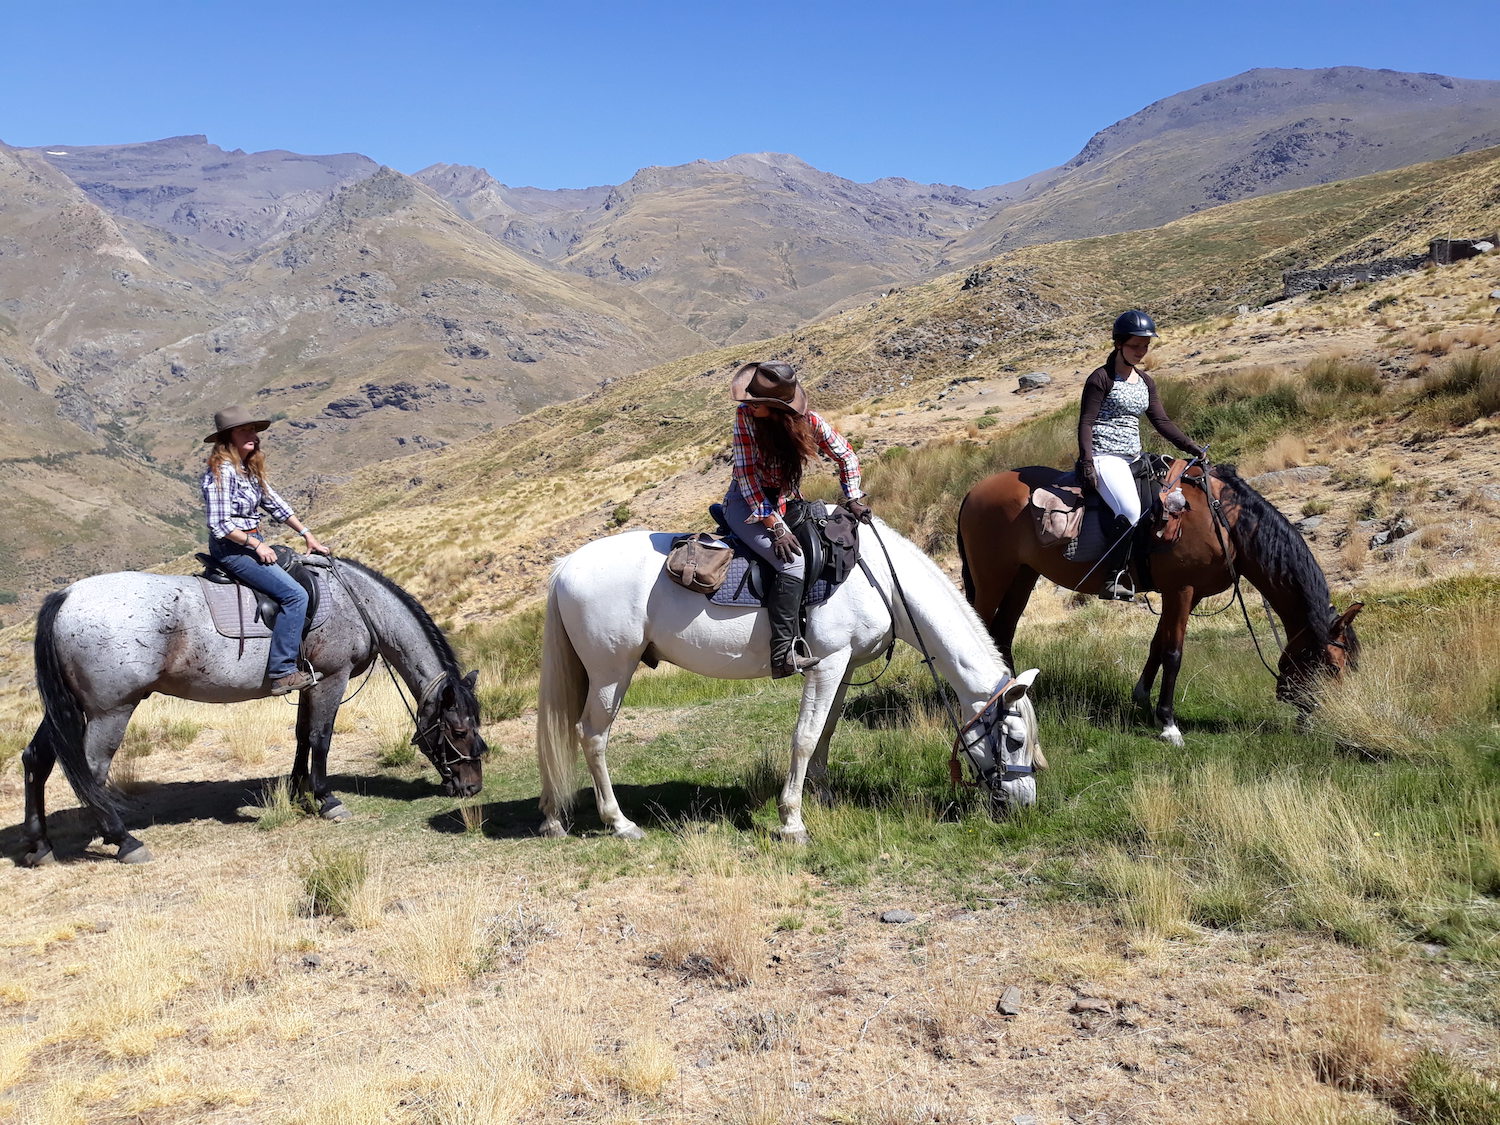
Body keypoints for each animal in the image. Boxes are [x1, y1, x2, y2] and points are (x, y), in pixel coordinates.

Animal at [20, 557, 487, 866]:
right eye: (458, 730)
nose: (471, 787)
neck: (355, 602)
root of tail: (66, 596)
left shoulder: (308, 682)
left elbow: (301, 736)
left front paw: (298, 790)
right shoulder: (332, 678)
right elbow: (321, 737)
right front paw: (325, 798)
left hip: (70, 709)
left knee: (36, 760)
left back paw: (39, 846)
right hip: (110, 710)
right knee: (92, 771)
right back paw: (123, 840)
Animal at [536, 519, 1041, 843]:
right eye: (1013, 739)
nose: (1024, 804)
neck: (879, 580)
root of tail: (566, 567)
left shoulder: (845, 666)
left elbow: (827, 731)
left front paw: (823, 795)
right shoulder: (827, 664)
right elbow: (804, 736)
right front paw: (792, 820)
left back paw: (553, 819)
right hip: (610, 673)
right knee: (591, 736)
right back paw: (619, 823)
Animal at [957, 462, 1361, 747]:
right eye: (1332, 667)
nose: (1328, 718)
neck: (1223, 521)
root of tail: (973, 491)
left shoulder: (1187, 594)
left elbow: (1157, 644)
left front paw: (1143, 700)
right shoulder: (1180, 590)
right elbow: (1173, 652)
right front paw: (1168, 723)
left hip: (1022, 576)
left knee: (1003, 634)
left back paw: (1012, 697)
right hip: (993, 579)